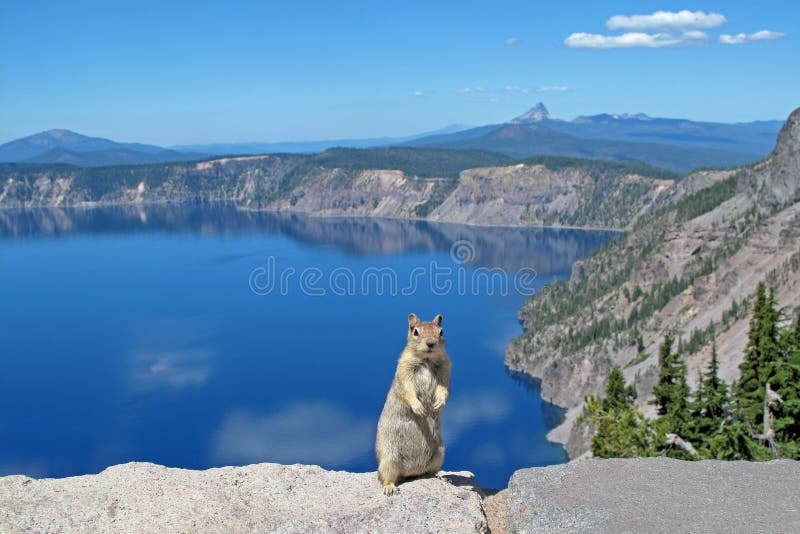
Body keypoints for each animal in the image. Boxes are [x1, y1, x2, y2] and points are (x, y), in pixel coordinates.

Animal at [376, 314, 450, 498]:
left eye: (441, 331)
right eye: (415, 331)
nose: (430, 343)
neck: (426, 361)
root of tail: (410, 472)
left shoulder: (446, 368)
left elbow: (444, 389)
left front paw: (439, 403)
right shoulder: (404, 368)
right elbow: (408, 390)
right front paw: (419, 408)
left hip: (440, 453)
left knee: (429, 471)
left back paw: (438, 476)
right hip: (389, 459)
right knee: (386, 476)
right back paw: (389, 488)